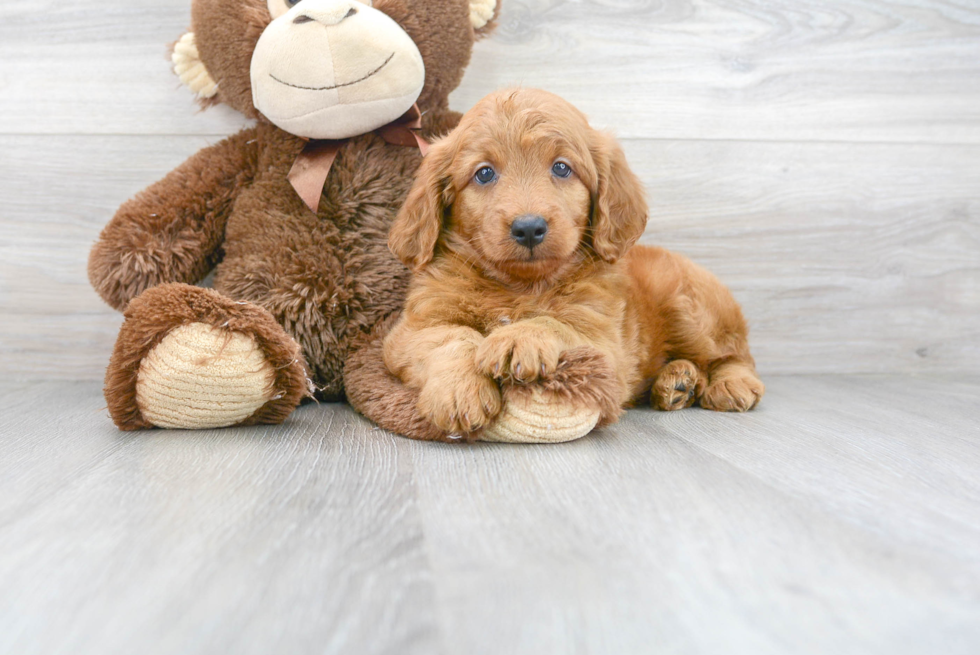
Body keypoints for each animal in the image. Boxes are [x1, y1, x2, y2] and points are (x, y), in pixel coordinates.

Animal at [382, 87, 764, 436]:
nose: (529, 228)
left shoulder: (604, 343)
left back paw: (730, 383)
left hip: (689, 311)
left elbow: (556, 322)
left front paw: (519, 338)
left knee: (735, 354)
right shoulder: (412, 330)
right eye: (484, 173)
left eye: (562, 168)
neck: (518, 286)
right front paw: (460, 391)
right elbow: (452, 337)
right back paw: (678, 381)